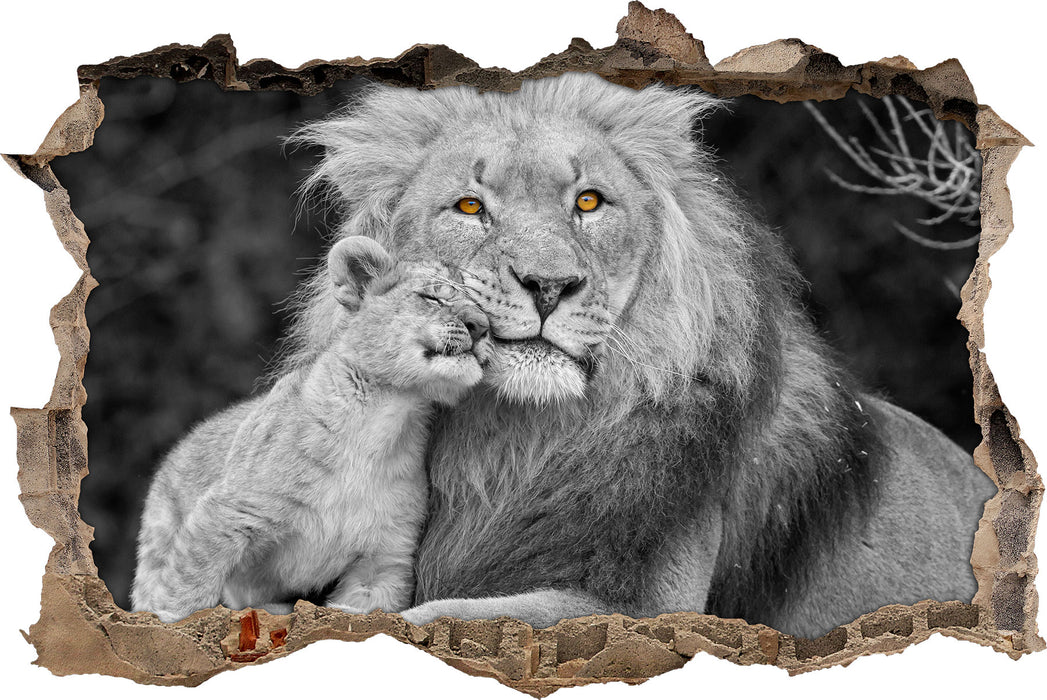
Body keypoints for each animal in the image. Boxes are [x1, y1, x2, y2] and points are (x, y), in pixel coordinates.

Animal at [131, 236, 492, 623]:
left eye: (485, 314)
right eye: (432, 297)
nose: (480, 326)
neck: (384, 420)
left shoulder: (383, 559)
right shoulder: (226, 514)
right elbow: (185, 595)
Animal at [285, 73, 995, 638]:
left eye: (588, 201)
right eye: (470, 207)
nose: (548, 285)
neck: (509, 441)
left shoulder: (652, 606)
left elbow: (438, 616)